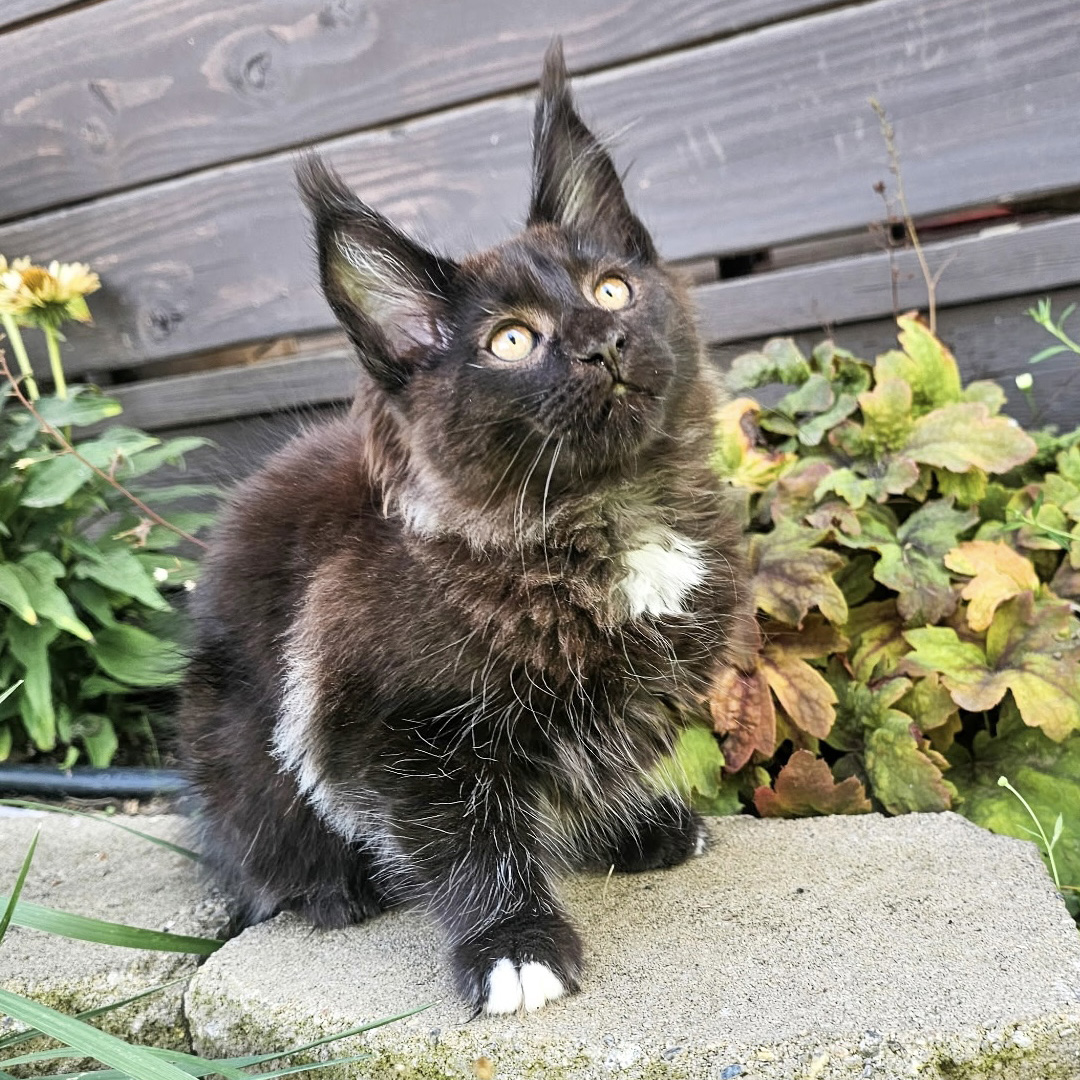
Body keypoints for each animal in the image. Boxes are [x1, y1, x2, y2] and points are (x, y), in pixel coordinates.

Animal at [179, 40, 751, 1016]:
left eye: (613, 289)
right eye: (511, 342)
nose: (604, 341)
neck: (605, 513)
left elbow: (600, 762)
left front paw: (628, 825)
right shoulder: (392, 730)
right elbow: (471, 838)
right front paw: (512, 943)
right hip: (236, 742)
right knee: (258, 844)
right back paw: (329, 889)